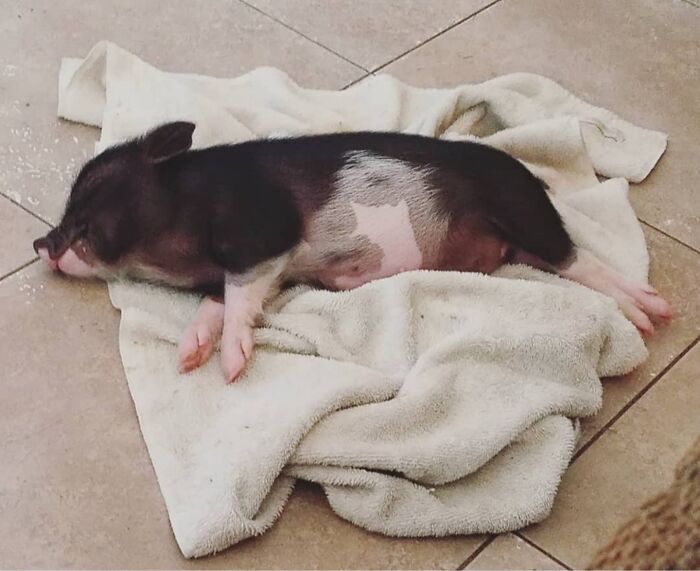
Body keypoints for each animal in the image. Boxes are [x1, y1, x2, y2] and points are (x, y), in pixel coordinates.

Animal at [33, 122, 671, 382]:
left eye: (85, 204)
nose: (41, 242)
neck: (183, 208)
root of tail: (533, 179)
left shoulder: (265, 236)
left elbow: (238, 300)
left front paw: (232, 368)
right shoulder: (241, 272)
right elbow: (216, 304)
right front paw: (188, 358)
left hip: (525, 213)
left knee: (581, 261)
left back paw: (652, 314)